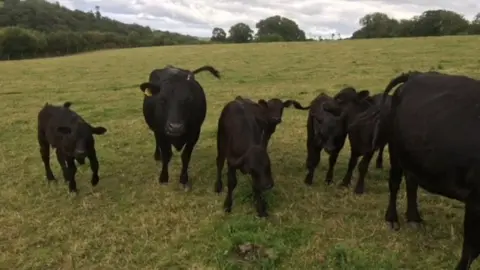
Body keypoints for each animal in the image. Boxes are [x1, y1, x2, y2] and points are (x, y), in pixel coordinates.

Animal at [378, 70, 480, 268]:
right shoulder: (475, 199)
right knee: (394, 183)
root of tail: (414, 75)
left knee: (411, 183)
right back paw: (392, 219)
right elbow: (471, 249)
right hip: (395, 150)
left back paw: (414, 219)